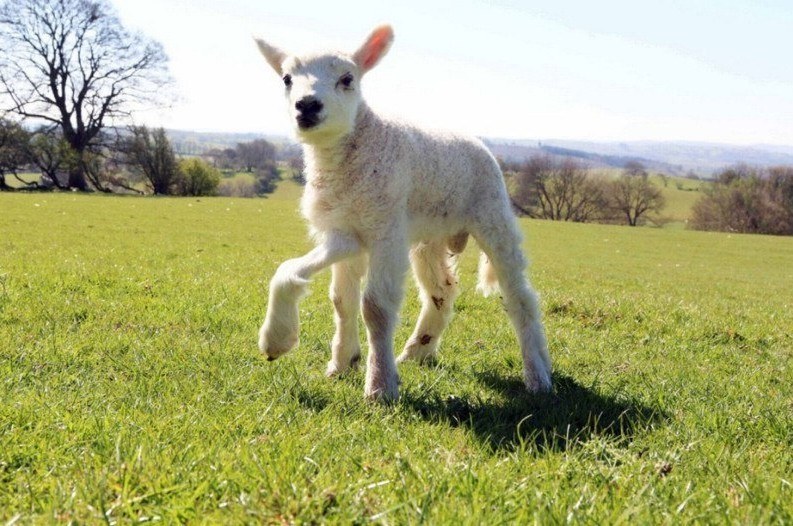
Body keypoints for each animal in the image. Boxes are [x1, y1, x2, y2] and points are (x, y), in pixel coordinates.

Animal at [255, 24, 552, 402]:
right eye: (287, 79)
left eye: (347, 79)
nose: (306, 105)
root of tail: (474, 140)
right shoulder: (344, 230)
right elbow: (335, 297)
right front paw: (305, 350)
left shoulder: (386, 229)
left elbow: (376, 307)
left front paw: (380, 386)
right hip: (429, 237)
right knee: (442, 291)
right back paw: (417, 351)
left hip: (493, 215)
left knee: (520, 297)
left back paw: (538, 375)